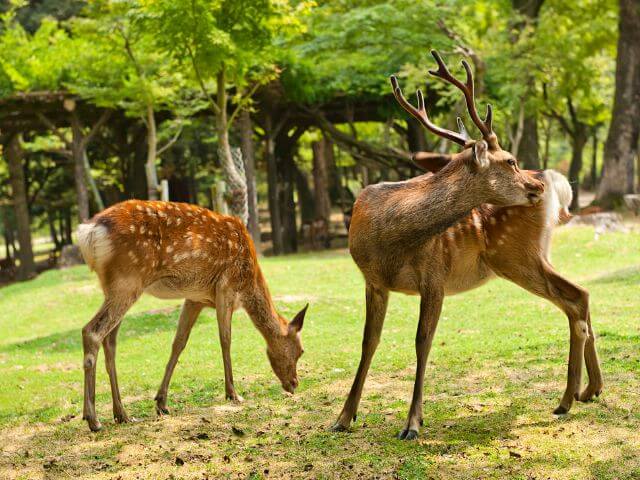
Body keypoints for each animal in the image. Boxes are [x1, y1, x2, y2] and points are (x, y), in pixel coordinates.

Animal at [77, 201, 308, 434]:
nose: (294, 384)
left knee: (110, 341)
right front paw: (233, 394)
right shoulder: (226, 287)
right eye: (300, 351)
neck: (248, 282)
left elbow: (179, 342)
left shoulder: (195, 298)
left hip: (113, 286)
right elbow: (226, 340)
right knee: (92, 331)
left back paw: (121, 414)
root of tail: (90, 231)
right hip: (128, 279)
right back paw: (93, 419)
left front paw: (161, 402)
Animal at [330, 51, 600, 438]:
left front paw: (412, 423)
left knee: (576, 297)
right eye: (510, 161)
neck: (389, 240)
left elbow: (422, 341)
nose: (536, 186)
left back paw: (567, 398)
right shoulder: (373, 281)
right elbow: (369, 342)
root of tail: (557, 182)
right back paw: (589, 390)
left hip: (517, 256)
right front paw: (343, 416)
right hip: (527, 256)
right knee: (580, 296)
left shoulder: (434, 275)